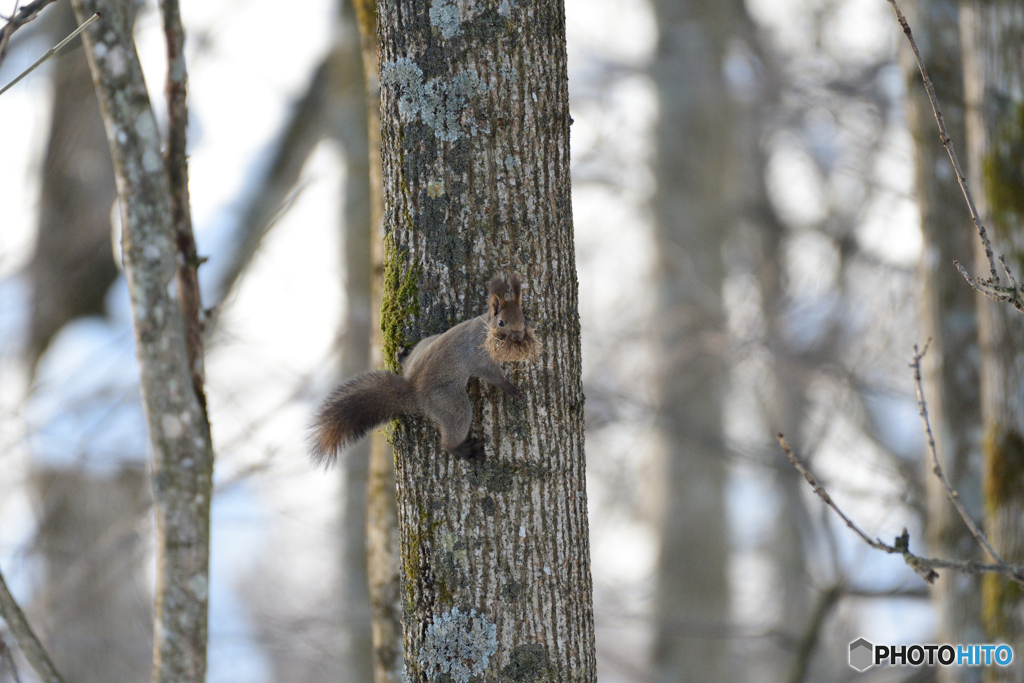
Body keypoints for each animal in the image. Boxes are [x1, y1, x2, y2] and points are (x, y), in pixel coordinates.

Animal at [307, 274, 540, 466]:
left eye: (524, 318)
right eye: (501, 322)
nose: (519, 337)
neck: (483, 328)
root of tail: (413, 388)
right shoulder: (481, 359)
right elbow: (494, 376)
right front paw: (511, 389)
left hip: (425, 345)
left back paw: (402, 356)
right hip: (451, 404)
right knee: (450, 439)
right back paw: (466, 451)